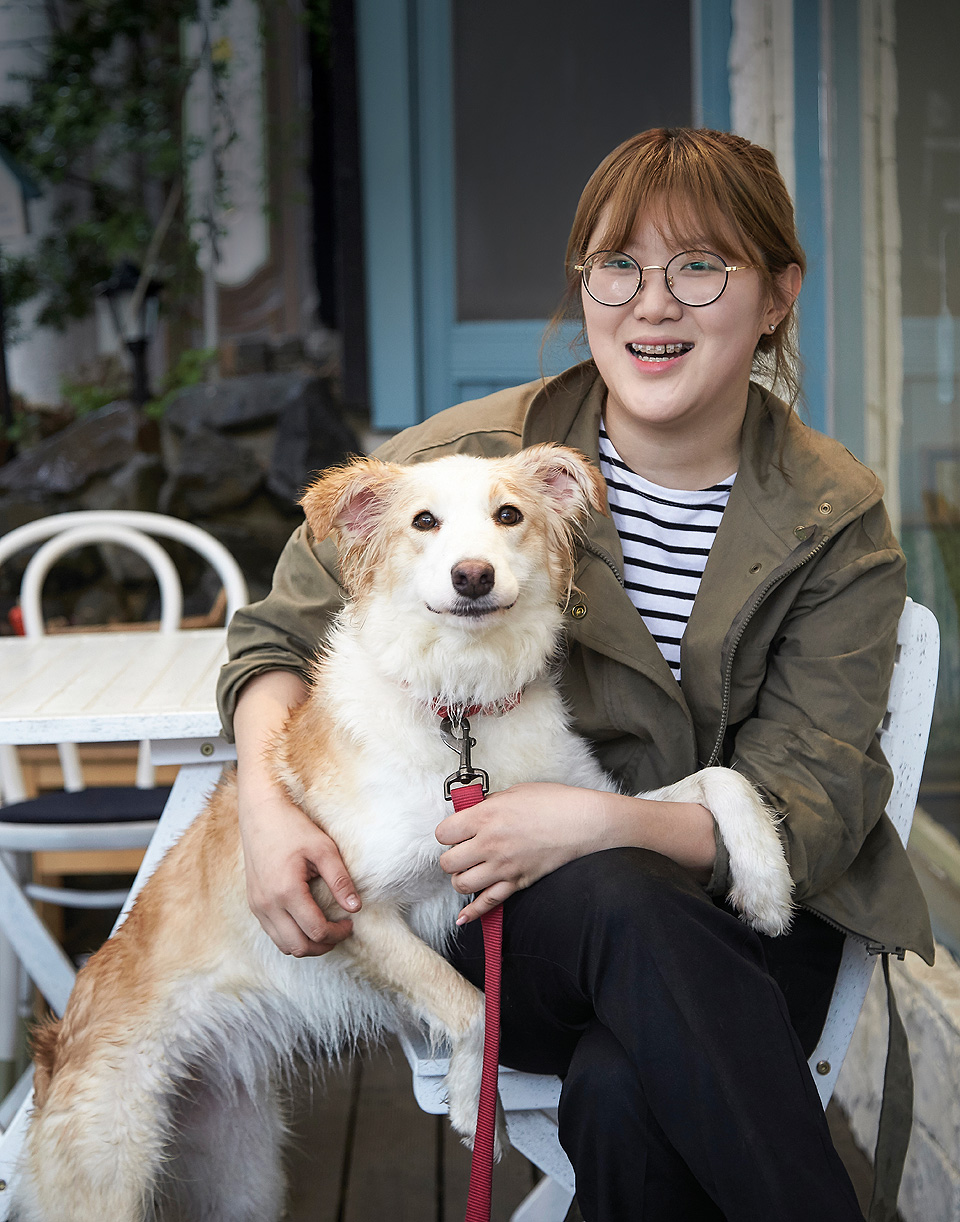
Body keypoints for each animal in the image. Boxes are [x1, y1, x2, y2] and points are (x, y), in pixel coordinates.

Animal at [14, 447, 791, 1222]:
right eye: (424, 522)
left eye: (508, 514)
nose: (472, 575)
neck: (460, 710)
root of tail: (56, 1041)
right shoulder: (349, 907)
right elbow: (473, 1008)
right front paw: (478, 1107)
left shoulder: (590, 806)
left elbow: (721, 780)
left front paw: (768, 889)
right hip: (111, 1179)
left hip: (241, 1180)